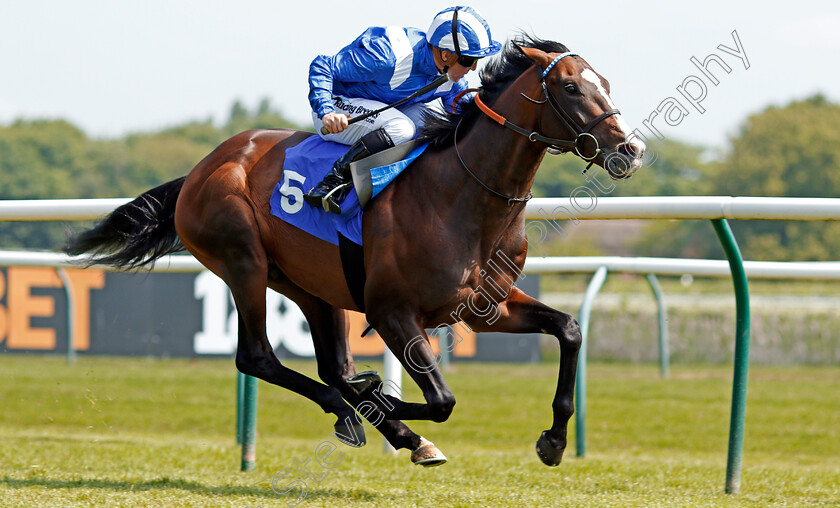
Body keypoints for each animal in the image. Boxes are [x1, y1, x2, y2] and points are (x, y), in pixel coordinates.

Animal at [65, 37, 648, 468]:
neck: (460, 194)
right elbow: (441, 400)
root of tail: (202, 168)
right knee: (259, 356)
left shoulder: (486, 307)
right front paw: (390, 408)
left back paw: (364, 413)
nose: (631, 149)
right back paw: (366, 416)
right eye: (570, 86)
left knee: (331, 365)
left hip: (309, 286)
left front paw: (553, 441)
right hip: (243, 262)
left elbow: (569, 329)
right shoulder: (392, 312)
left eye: (605, 83)